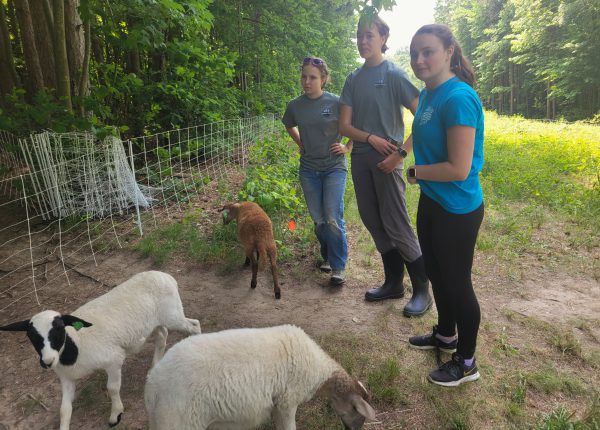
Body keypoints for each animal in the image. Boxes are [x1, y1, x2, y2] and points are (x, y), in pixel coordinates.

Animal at [0, 272, 202, 430]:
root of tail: (165, 275)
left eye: (58, 329)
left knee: (194, 325)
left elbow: (112, 388)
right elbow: (65, 409)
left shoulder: (113, 359)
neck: (75, 345)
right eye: (31, 336)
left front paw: (116, 414)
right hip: (153, 323)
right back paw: (154, 366)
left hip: (173, 315)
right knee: (162, 335)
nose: (47, 362)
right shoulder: (66, 378)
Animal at [144, 326, 376, 430]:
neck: (320, 373)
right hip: (178, 421)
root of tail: (153, 385)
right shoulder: (287, 401)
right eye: (358, 413)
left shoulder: (276, 405)